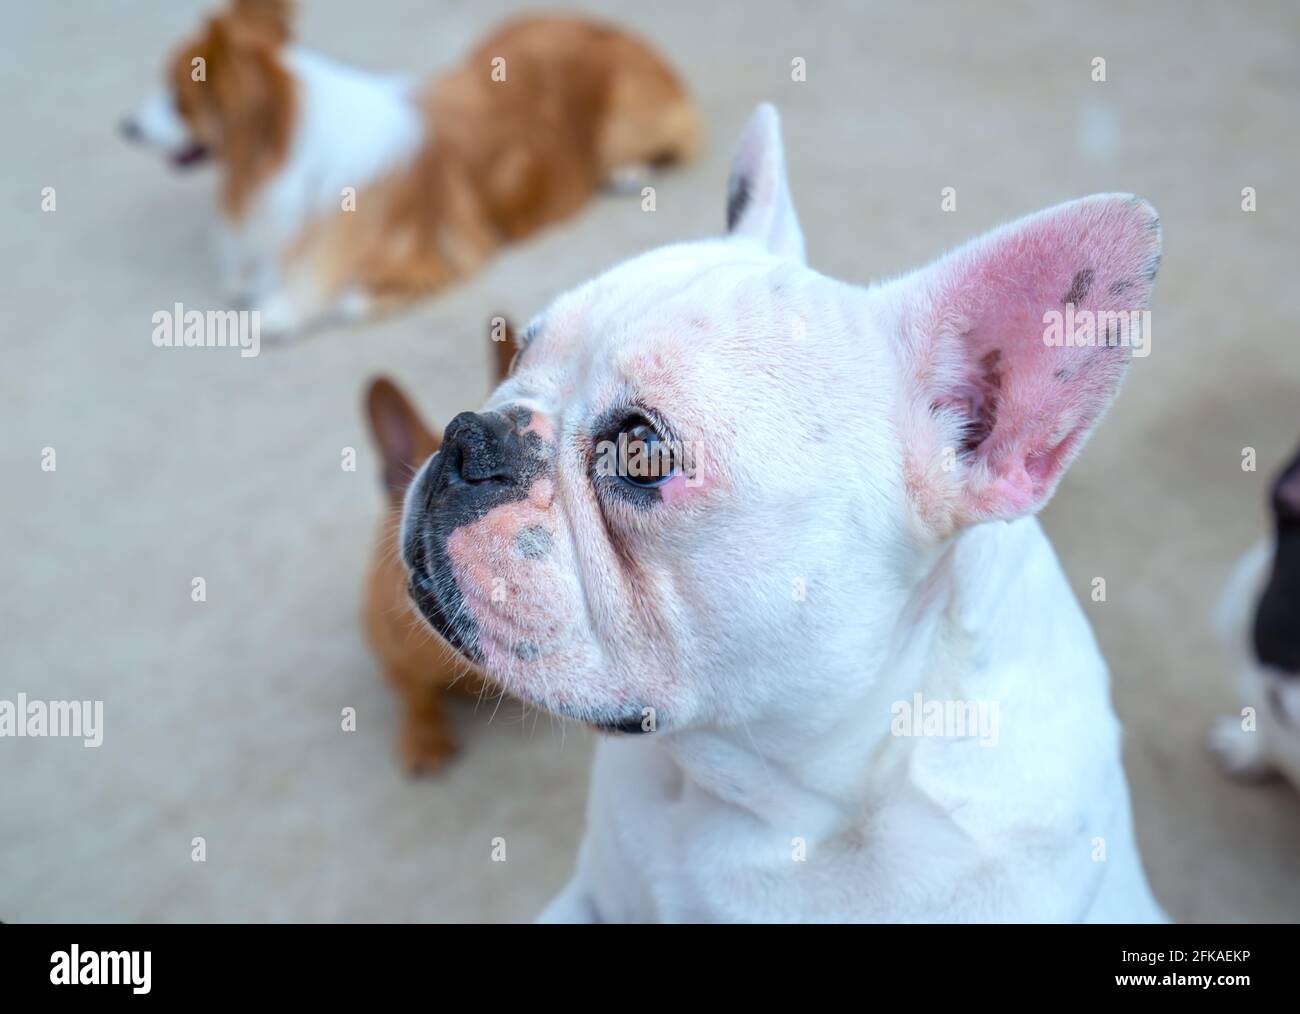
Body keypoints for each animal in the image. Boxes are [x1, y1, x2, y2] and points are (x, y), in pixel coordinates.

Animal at [124, 1, 702, 338]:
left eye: (177, 100)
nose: (123, 126)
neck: (282, 146)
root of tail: (614, 27)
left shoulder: (438, 255)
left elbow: (337, 298)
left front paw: (291, 307)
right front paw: (255, 279)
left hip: (621, 119)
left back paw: (628, 172)